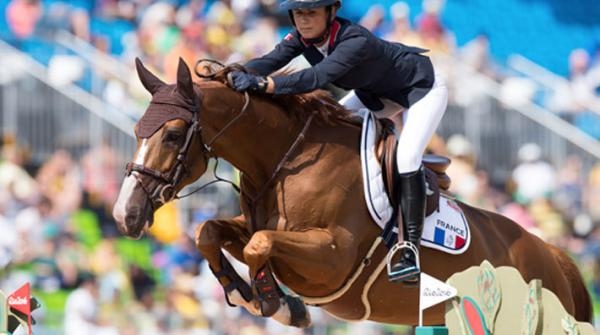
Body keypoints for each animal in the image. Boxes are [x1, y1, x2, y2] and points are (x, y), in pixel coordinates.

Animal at [111, 57, 592, 328]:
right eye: (135, 132)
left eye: (173, 134)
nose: (123, 215)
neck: (286, 157)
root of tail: (554, 255)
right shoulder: (253, 226)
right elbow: (210, 232)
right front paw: (245, 293)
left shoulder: (333, 256)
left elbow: (258, 245)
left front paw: (279, 305)